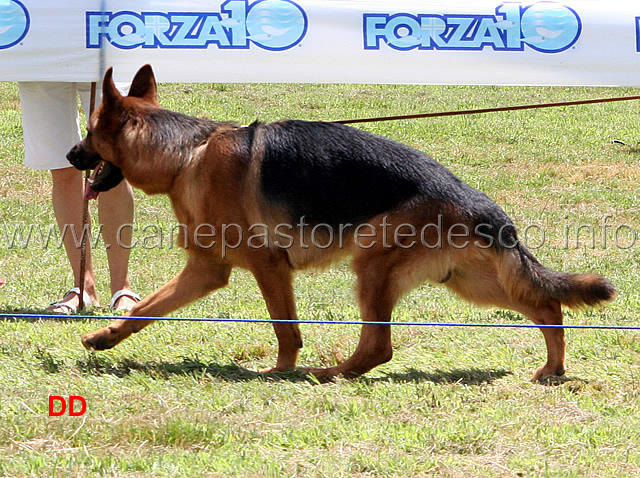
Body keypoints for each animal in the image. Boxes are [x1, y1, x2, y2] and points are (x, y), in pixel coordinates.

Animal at [66, 66, 616, 380]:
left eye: (90, 134)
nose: (70, 155)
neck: (186, 154)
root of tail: (474, 199)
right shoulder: (206, 270)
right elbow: (146, 310)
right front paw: (103, 338)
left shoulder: (268, 267)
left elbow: (286, 330)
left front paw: (280, 370)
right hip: (468, 281)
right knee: (546, 305)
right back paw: (553, 368)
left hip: (373, 265)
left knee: (378, 347)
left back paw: (327, 373)